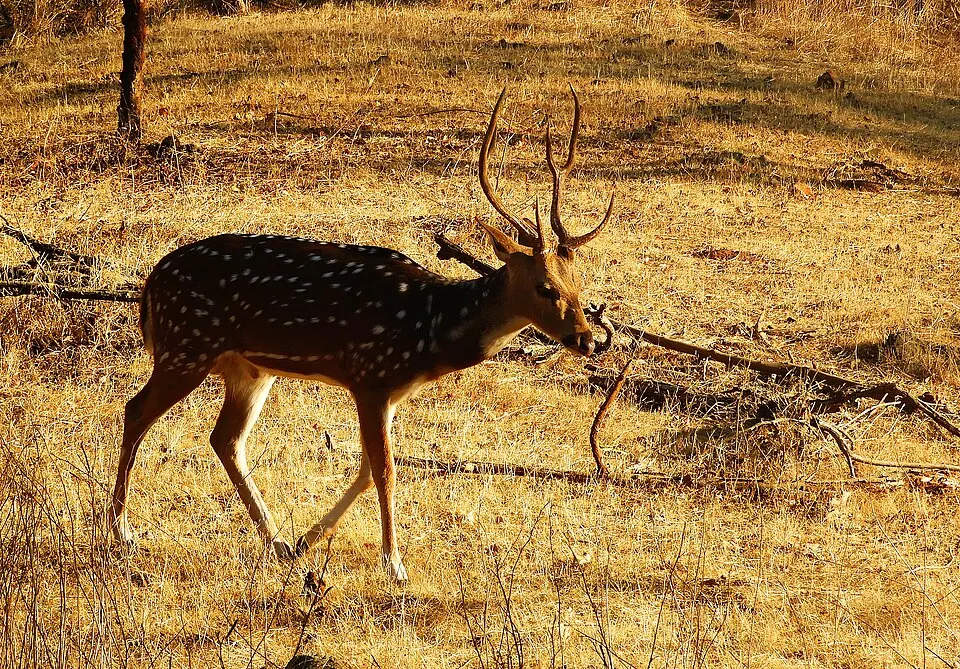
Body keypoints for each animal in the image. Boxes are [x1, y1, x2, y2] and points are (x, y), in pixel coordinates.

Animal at [106, 88, 613, 582]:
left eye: (579, 281)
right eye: (545, 287)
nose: (588, 339)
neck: (429, 329)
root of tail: (150, 285)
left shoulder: (391, 392)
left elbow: (371, 469)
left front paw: (309, 540)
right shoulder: (370, 376)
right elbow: (385, 470)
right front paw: (395, 565)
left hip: (248, 368)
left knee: (225, 439)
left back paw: (277, 541)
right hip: (187, 344)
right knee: (137, 410)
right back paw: (121, 531)